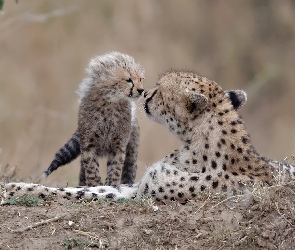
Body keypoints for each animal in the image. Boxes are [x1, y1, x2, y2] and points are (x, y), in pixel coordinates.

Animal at [1, 70, 294, 203]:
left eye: (162, 90)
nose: (145, 94)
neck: (194, 144)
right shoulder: (138, 185)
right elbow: (83, 189)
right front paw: (15, 186)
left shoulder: (142, 194)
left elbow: (86, 194)